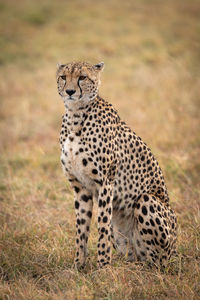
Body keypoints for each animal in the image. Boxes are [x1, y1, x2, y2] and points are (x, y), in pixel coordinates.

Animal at [56, 62, 177, 268]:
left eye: (82, 77)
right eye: (63, 77)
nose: (70, 91)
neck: (76, 115)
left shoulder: (105, 182)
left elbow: (102, 226)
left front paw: (103, 266)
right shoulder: (80, 187)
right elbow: (81, 228)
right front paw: (78, 266)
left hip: (147, 201)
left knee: (158, 262)